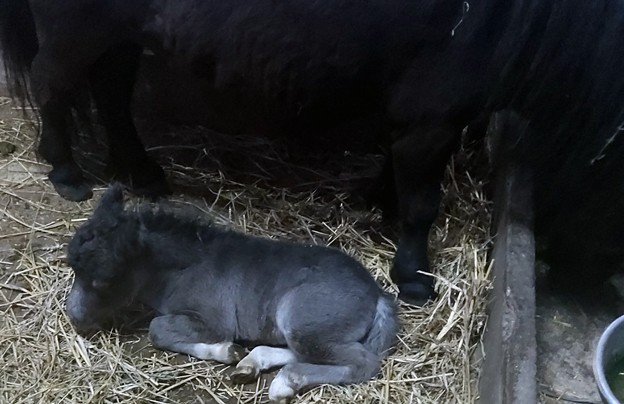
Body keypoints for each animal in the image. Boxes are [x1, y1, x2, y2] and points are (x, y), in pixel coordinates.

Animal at [3, 1, 624, 305]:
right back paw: (65, 170)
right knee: (53, 81)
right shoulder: (432, 116)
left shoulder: (414, 117)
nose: (597, 290)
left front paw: (378, 205)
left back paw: (141, 170)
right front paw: (414, 277)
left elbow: (397, 173)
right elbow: (422, 202)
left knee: (110, 90)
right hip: (75, 30)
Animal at [65, 184, 398, 403]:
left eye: (104, 281)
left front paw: (224, 351)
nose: (74, 317)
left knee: (362, 362)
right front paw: (232, 353)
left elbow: (157, 329)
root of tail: (378, 293)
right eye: (73, 267)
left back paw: (285, 382)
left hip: (303, 319)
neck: (181, 268)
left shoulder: (213, 321)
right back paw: (252, 363)